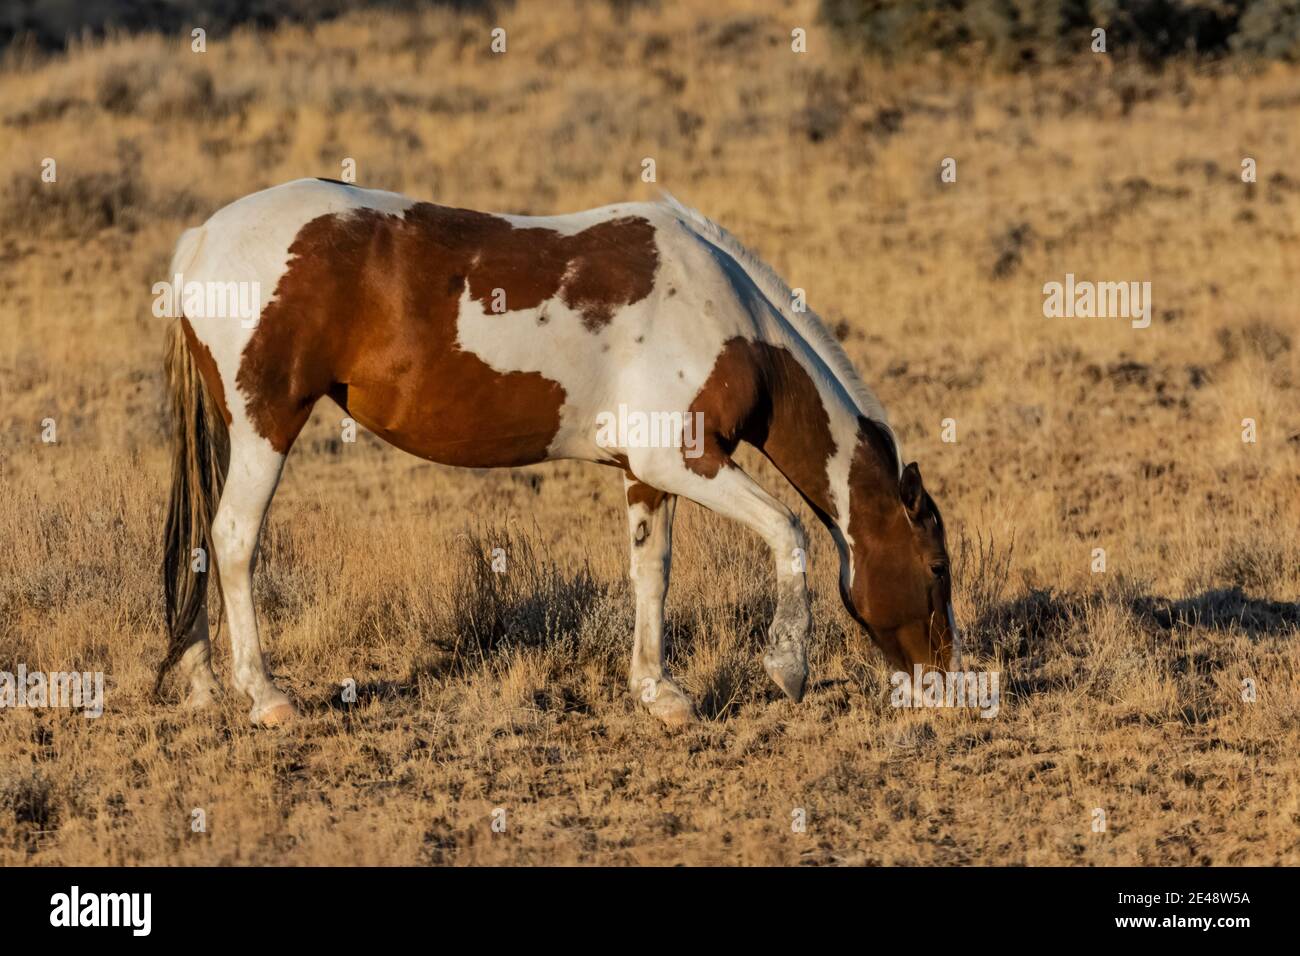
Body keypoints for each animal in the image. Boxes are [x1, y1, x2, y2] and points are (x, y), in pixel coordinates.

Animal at [158, 178, 959, 726]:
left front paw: (659, 692)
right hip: (266, 426)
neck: (728, 322)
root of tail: (200, 237)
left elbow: (651, 574)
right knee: (234, 539)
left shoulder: (647, 475)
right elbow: (789, 534)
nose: (947, 679)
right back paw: (265, 695)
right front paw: (787, 667)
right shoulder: (683, 461)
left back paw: (200, 682)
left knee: (201, 542)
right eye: (936, 569)